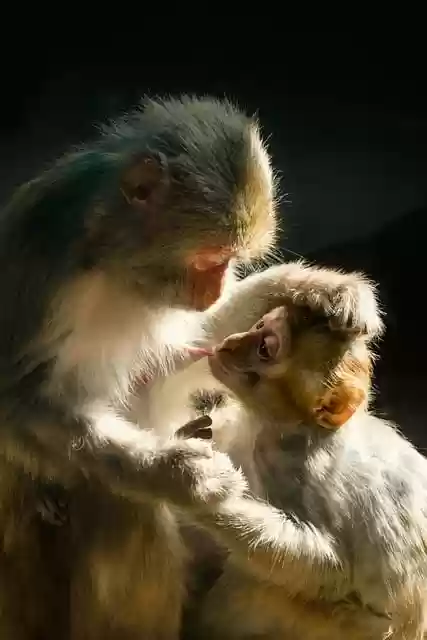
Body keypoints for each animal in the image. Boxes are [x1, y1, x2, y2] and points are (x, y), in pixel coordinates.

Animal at [0, 92, 383, 638]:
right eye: (209, 259)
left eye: (231, 260)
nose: (216, 287)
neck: (110, 265)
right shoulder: (44, 274)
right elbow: (21, 408)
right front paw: (174, 473)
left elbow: (186, 354)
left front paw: (315, 286)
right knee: (124, 506)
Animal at [180, 299, 427, 640]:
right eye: (259, 326)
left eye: (265, 349)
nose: (229, 342)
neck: (285, 428)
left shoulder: (296, 470)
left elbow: (330, 569)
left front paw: (191, 490)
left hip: (349, 628)